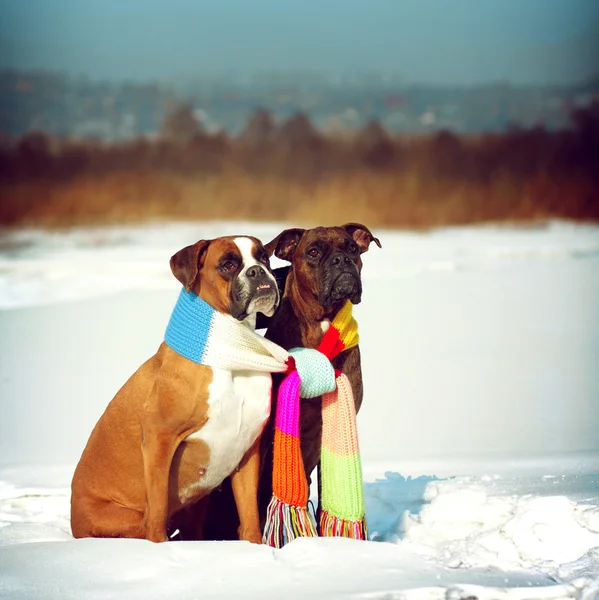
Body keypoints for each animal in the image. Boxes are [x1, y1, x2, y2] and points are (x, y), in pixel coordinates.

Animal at [71, 236, 284, 544]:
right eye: (228, 264)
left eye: (264, 257)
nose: (258, 272)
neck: (229, 353)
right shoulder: (159, 438)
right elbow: (158, 510)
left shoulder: (248, 449)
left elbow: (250, 516)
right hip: (124, 521)